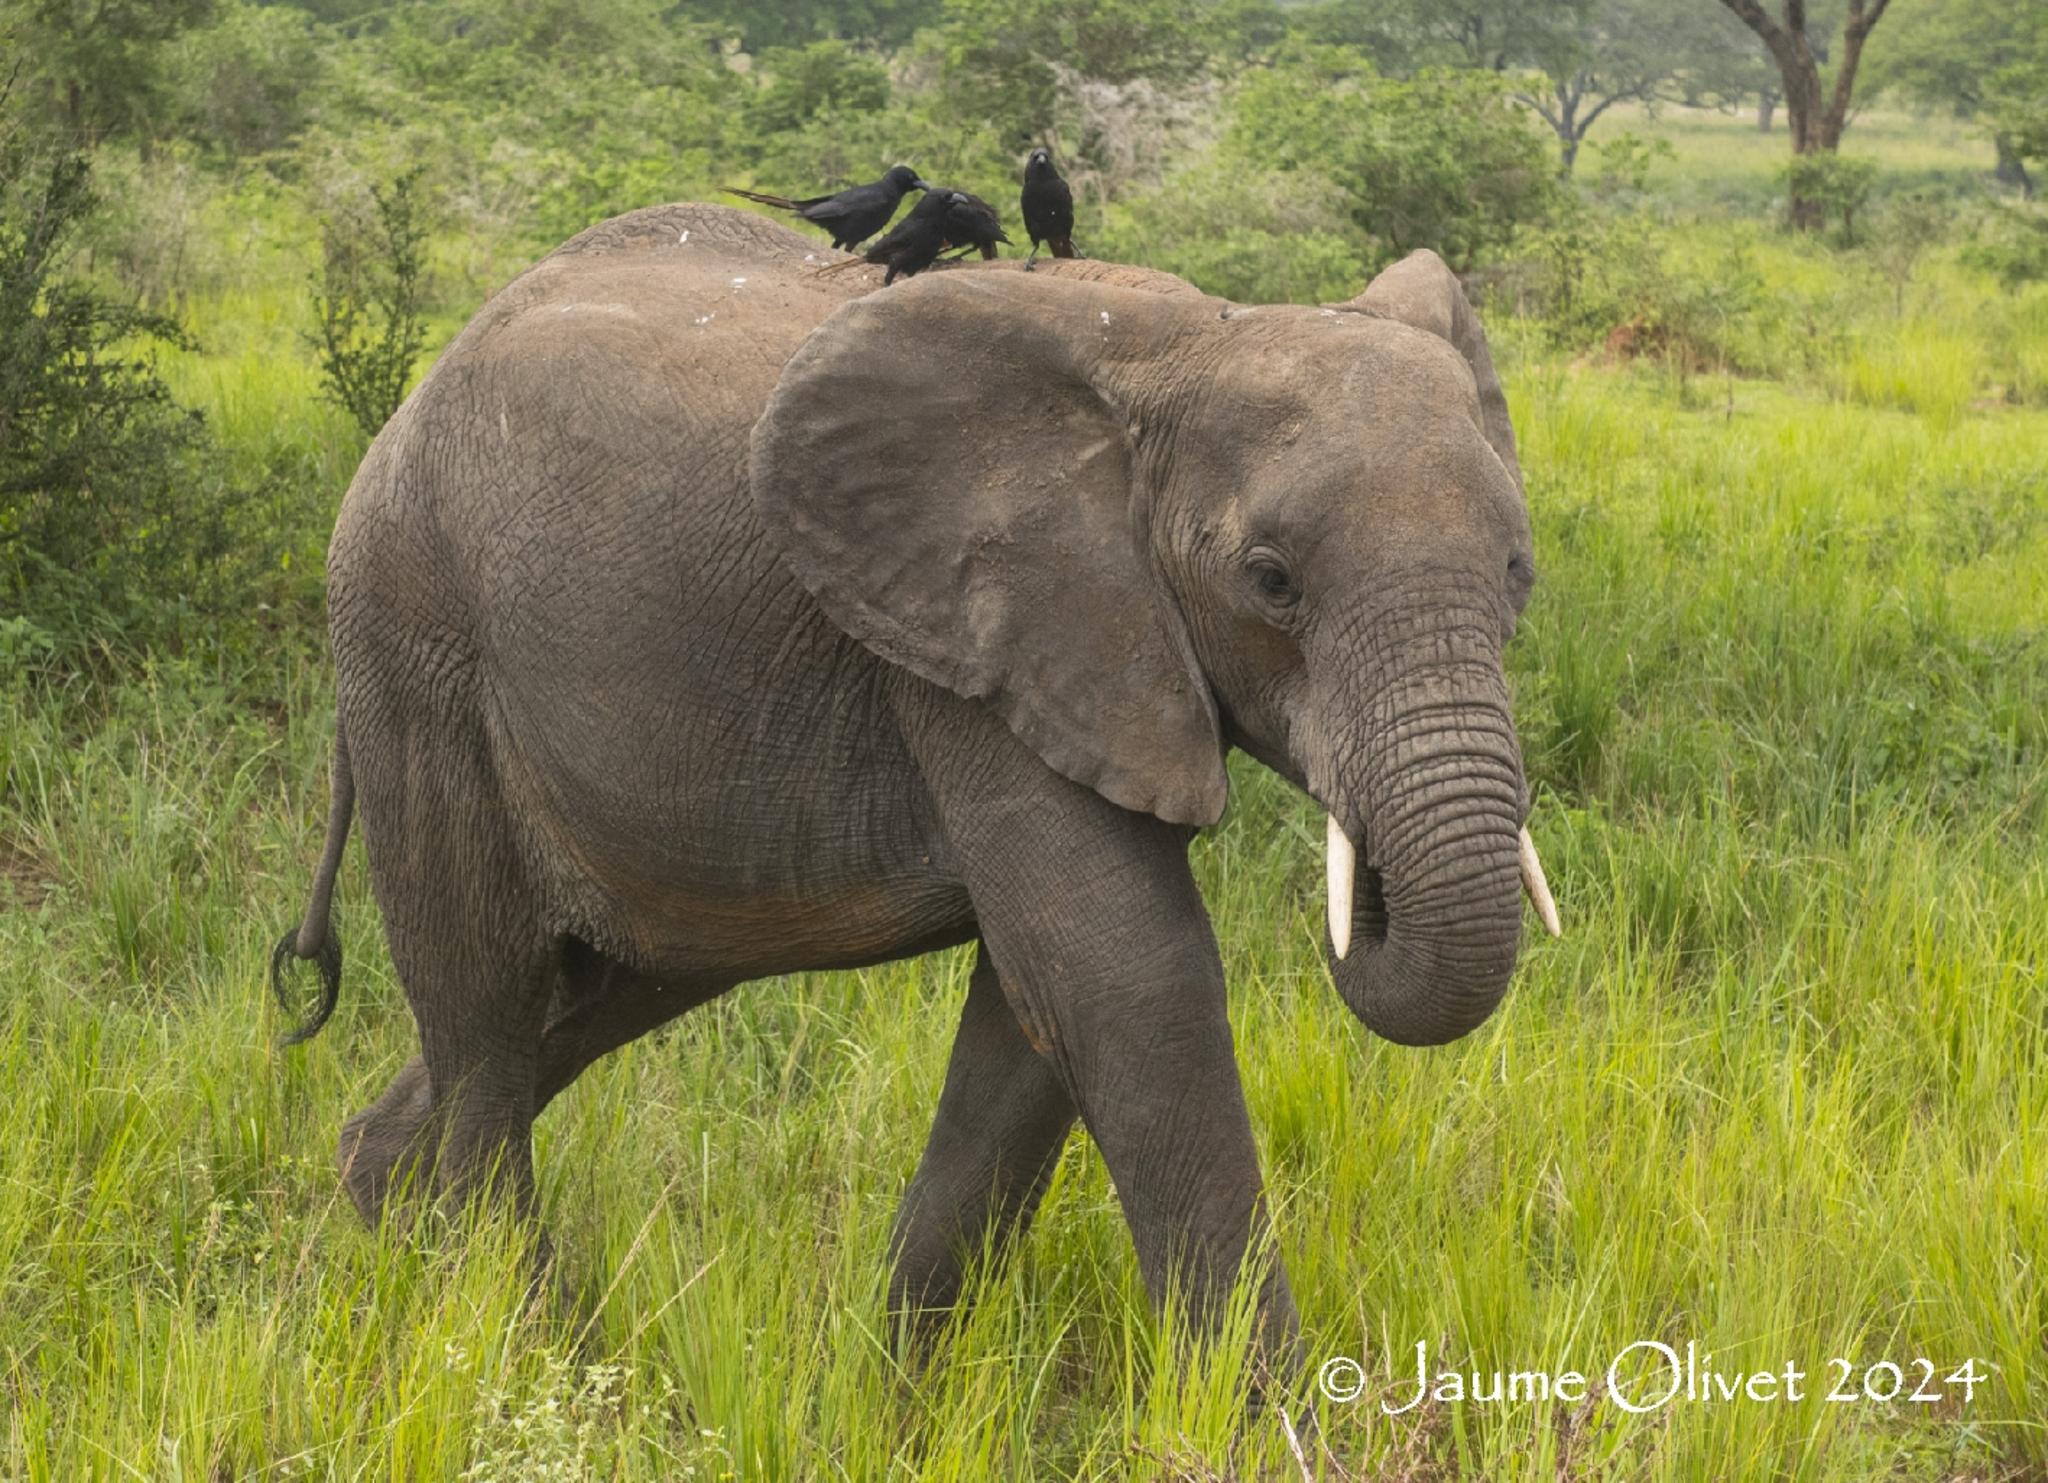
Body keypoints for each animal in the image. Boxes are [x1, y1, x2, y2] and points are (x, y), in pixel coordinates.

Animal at [272, 199, 1548, 1368]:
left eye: (1516, 572)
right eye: (1269, 580)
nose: (1362, 880)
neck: (1188, 338)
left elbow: (1031, 1028)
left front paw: (881, 1393)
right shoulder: (973, 639)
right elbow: (1127, 976)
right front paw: (1274, 1423)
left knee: (594, 986)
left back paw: (389, 1216)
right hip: (414, 641)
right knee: (487, 1008)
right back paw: (529, 1350)